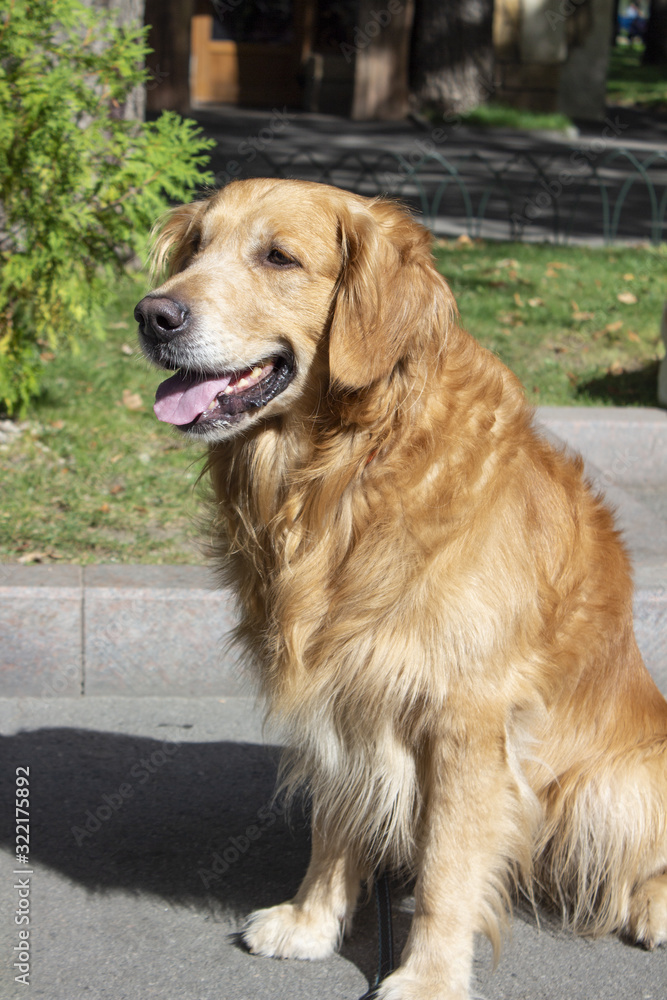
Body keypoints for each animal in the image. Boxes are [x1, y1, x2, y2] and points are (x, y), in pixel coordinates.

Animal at [136, 180, 667, 1000]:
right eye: (196, 247)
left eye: (278, 257)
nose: (151, 315)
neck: (348, 469)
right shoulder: (340, 686)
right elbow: (336, 819)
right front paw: (311, 922)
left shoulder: (465, 717)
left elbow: (449, 864)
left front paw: (427, 976)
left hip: (609, 787)